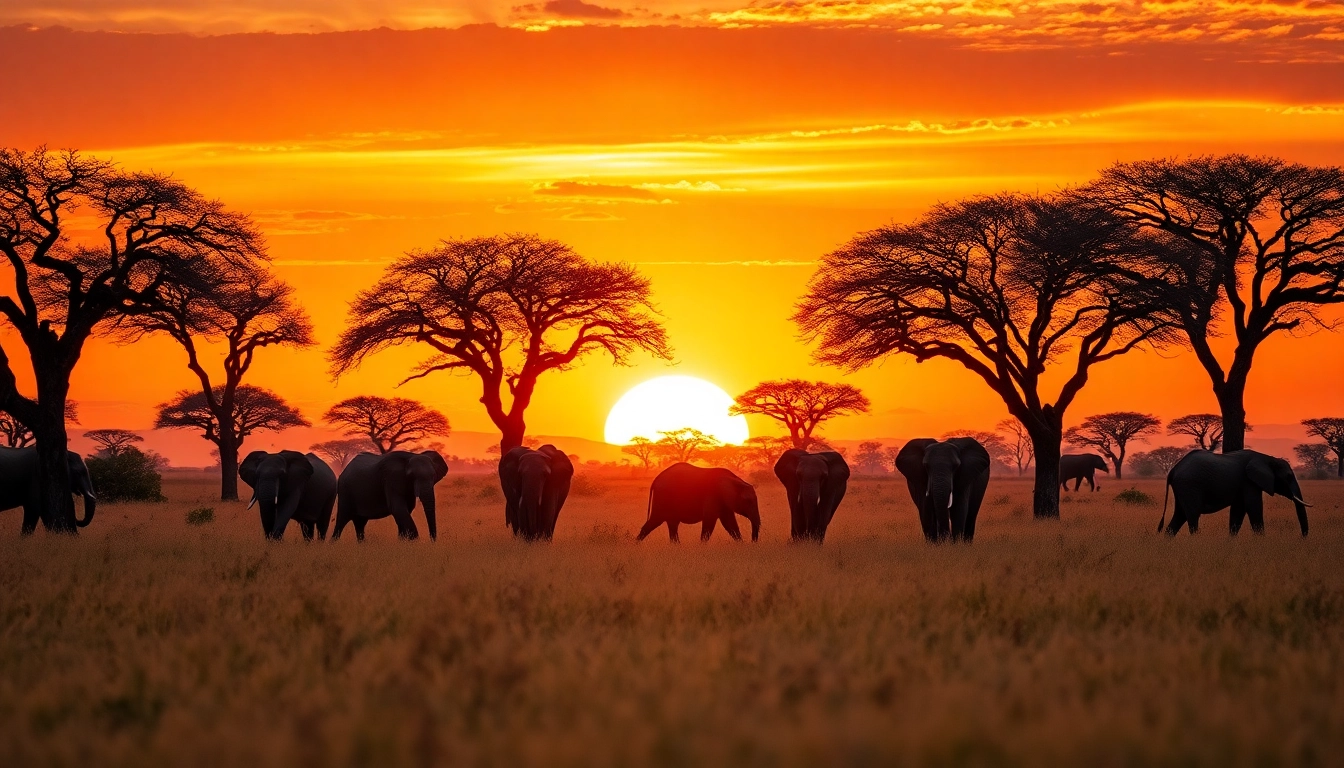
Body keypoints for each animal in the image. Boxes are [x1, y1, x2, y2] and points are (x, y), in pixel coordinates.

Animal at [1158, 450, 1310, 537]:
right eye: (1288, 477)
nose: (1302, 537)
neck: (1268, 458)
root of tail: (1173, 469)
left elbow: (1239, 511)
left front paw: (1231, 542)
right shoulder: (1249, 481)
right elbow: (1253, 507)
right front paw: (1261, 542)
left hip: (1183, 487)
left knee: (1180, 515)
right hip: (1190, 485)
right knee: (1192, 516)